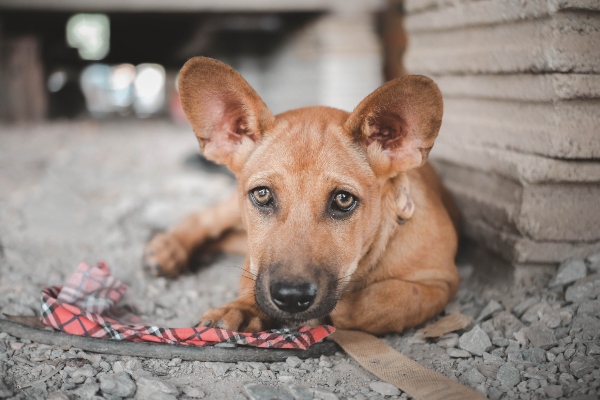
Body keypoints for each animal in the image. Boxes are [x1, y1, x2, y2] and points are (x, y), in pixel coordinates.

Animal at [145, 57, 460, 334]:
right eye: (262, 195)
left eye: (343, 200)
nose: (291, 298)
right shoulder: (255, 254)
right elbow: (251, 277)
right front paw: (243, 308)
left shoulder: (439, 283)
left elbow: (378, 303)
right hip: (232, 211)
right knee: (204, 218)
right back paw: (169, 249)